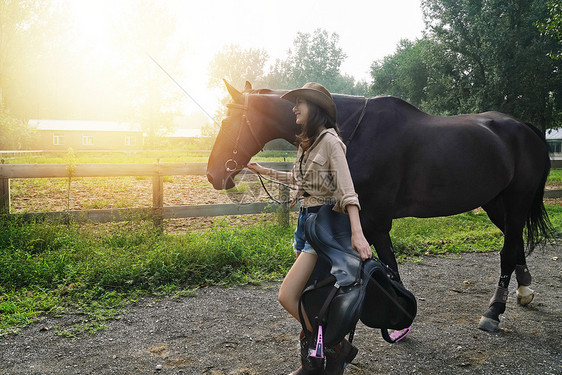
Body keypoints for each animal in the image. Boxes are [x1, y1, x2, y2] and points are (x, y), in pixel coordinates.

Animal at [203, 80, 548, 332]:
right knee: (515, 242)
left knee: (507, 251)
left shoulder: (374, 221)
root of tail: (524, 128)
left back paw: (494, 311)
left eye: (229, 120)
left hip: (516, 202)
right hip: (496, 204)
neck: (351, 132)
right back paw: (524, 290)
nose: (214, 173)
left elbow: (388, 266)